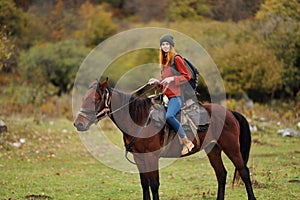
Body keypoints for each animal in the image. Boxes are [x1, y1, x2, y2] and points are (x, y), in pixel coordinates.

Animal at [74, 79, 255, 200]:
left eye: (95, 99)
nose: (78, 124)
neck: (140, 119)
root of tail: (231, 113)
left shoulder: (151, 157)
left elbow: (154, 184)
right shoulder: (139, 157)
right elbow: (145, 184)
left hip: (232, 148)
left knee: (244, 172)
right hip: (214, 149)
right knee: (221, 174)